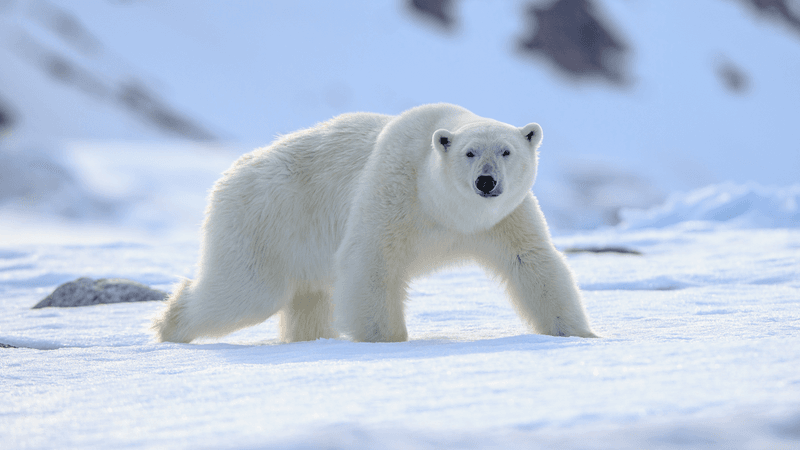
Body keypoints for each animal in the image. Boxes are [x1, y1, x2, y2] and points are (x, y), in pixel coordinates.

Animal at [151, 103, 597, 343]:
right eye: (470, 153)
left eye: (506, 151)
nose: (486, 182)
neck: (446, 210)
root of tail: (230, 174)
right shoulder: (395, 190)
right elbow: (372, 261)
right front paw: (386, 341)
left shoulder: (503, 218)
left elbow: (532, 262)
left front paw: (579, 334)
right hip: (265, 221)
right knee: (245, 291)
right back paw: (169, 325)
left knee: (308, 299)